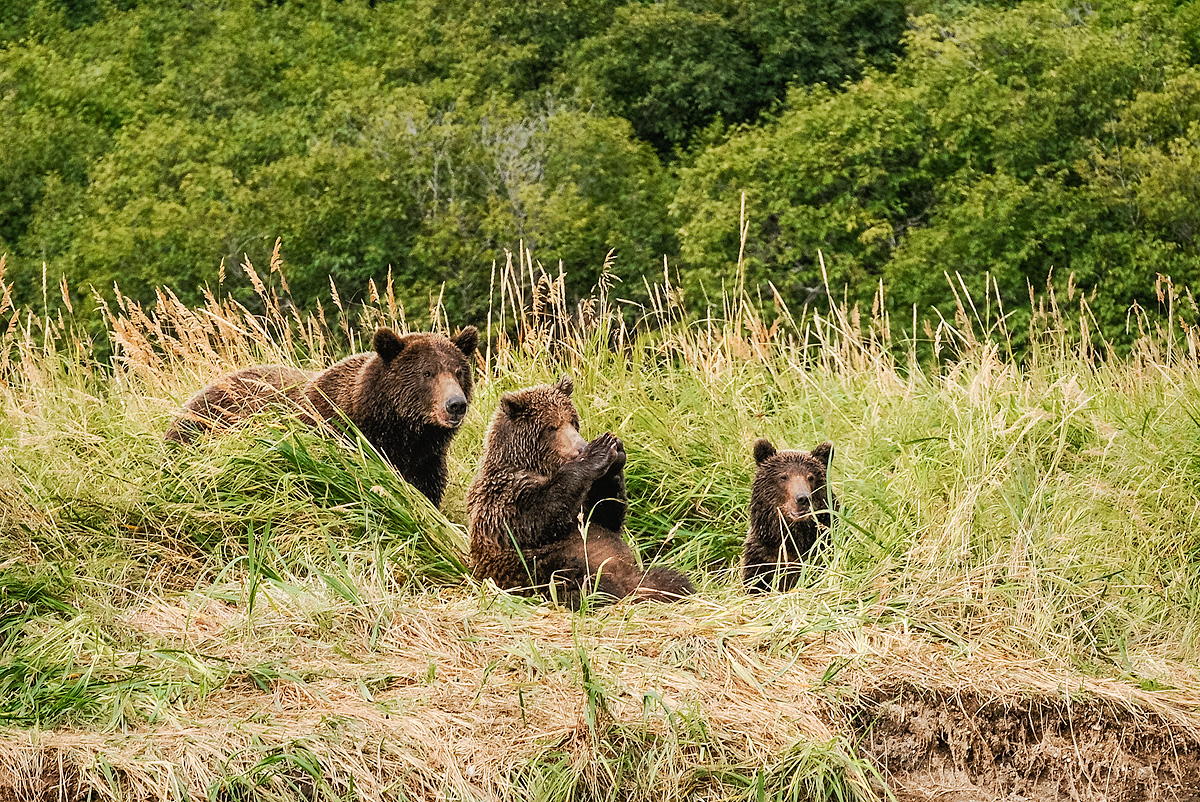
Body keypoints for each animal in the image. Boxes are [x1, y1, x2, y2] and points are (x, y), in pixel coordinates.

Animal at [465, 376, 696, 607]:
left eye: (572, 421)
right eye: (551, 427)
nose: (580, 446)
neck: (538, 467)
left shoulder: (585, 503)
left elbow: (604, 514)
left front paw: (615, 455)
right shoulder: (503, 497)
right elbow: (534, 518)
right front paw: (598, 451)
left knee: (668, 578)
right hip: (539, 570)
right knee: (573, 578)